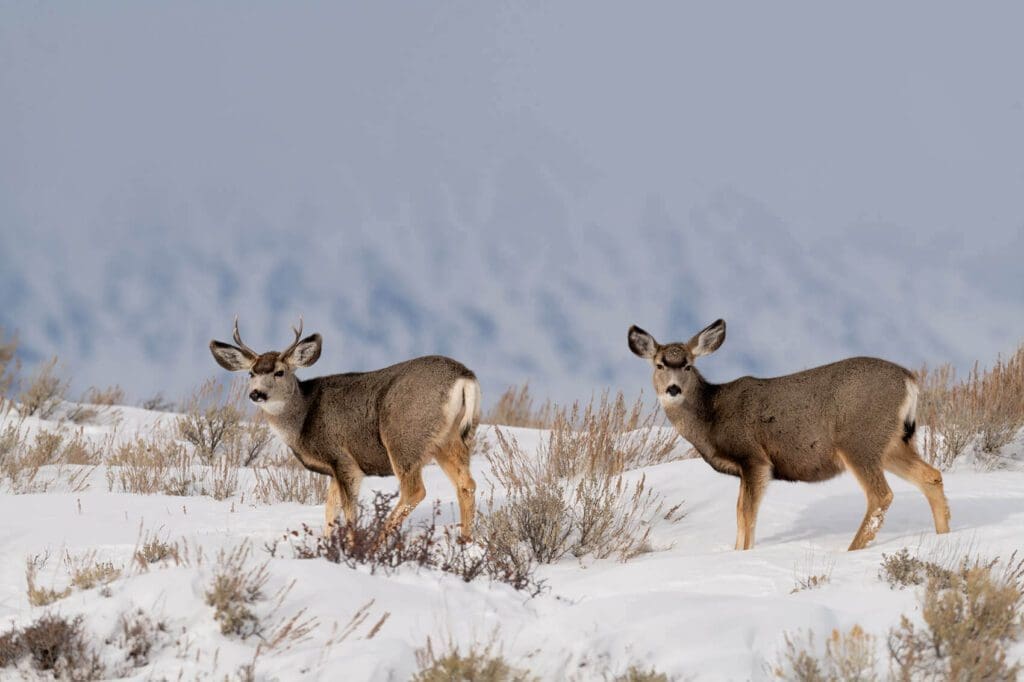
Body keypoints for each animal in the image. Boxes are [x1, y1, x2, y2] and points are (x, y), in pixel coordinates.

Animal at [209, 315, 481, 540]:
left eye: (280, 372)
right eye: (251, 373)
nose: (257, 393)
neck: (302, 418)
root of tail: (464, 376)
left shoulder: (343, 459)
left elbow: (349, 514)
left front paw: (349, 547)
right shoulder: (333, 470)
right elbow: (330, 511)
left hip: (404, 436)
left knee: (415, 490)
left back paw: (375, 544)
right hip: (448, 439)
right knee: (466, 484)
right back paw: (465, 542)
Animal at [630, 321, 950, 548]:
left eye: (687, 365)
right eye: (659, 364)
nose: (673, 389)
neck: (712, 414)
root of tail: (910, 381)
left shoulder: (754, 458)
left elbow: (746, 516)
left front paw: (743, 554)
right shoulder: (745, 468)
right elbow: (739, 515)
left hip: (858, 440)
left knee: (881, 495)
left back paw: (851, 550)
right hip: (892, 442)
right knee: (931, 476)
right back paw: (944, 535)